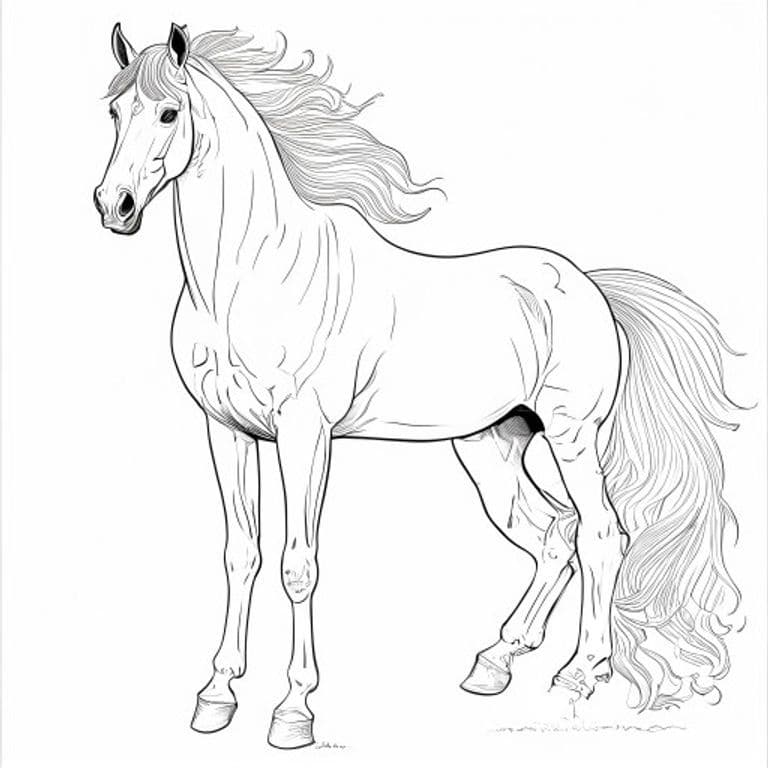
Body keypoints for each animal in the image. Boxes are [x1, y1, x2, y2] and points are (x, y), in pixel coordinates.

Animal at [94, 23, 742, 748]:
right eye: (114, 111)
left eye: (168, 113)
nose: (113, 207)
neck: (249, 276)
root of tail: (587, 285)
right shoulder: (227, 431)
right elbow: (242, 556)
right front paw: (216, 697)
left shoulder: (304, 433)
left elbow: (298, 564)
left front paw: (293, 712)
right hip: (492, 445)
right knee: (553, 530)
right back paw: (495, 662)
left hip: (572, 436)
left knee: (601, 533)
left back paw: (578, 674)